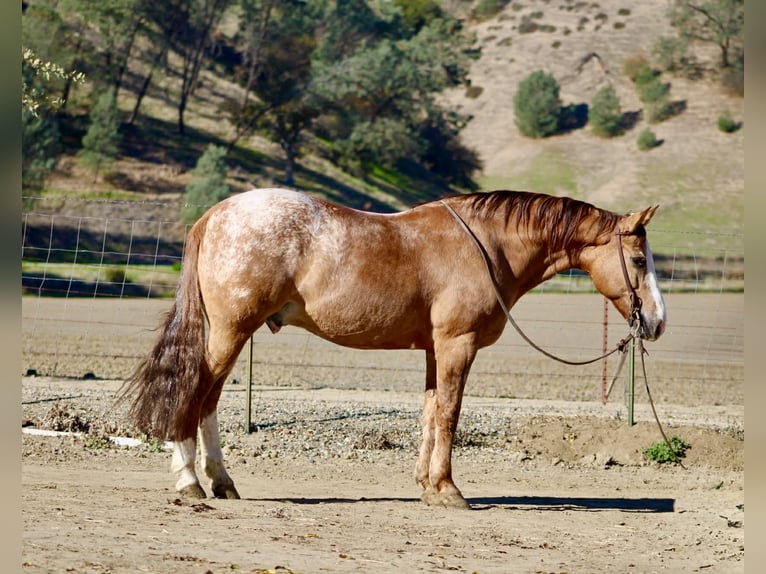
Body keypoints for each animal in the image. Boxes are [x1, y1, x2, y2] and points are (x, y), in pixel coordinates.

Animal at [119, 188, 666, 509]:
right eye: (639, 260)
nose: (657, 322)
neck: (487, 246)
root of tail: (215, 214)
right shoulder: (457, 345)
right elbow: (450, 414)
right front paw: (449, 490)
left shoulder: (434, 351)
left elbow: (430, 413)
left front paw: (427, 485)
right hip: (230, 332)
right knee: (195, 394)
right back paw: (190, 482)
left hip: (232, 333)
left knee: (208, 402)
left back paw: (222, 482)